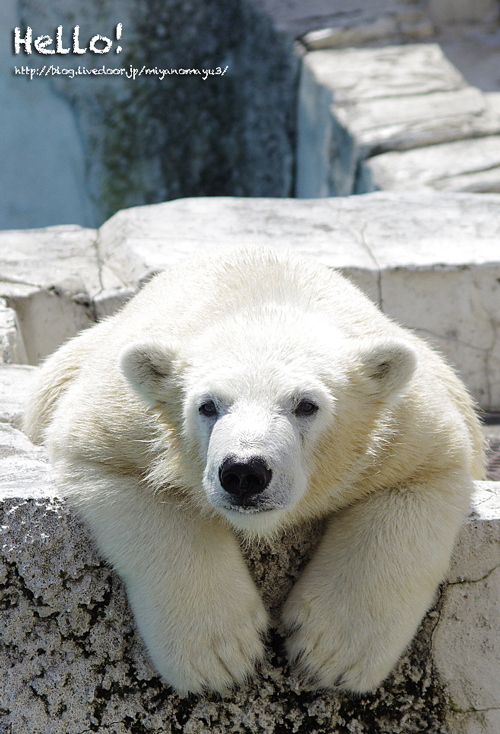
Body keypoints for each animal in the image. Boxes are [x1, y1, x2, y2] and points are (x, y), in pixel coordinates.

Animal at [24, 246, 484, 696]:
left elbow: (423, 478)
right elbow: (107, 462)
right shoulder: (123, 416)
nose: (244, 472)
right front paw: (219, 655)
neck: (262, 301)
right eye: (207, 405)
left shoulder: (406, 423)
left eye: (306, 405)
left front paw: (330, 653)